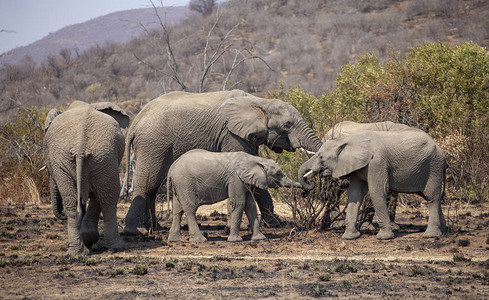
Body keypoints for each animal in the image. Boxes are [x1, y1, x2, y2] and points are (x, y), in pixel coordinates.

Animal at [43, 101, 130, 255]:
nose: (62, 215)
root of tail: (80, 147)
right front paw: (88, 237)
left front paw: (88, 236)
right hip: (100, 158)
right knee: (106, 198)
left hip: (98, 158)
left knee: (97, 198)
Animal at [166, 149, 300, 243]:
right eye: (278, 174)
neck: (254, 159)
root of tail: (171, 169)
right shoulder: (236, 179)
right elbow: (239, 203)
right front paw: (236, 240)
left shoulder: (246, 181)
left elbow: (250, 205)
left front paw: (259, 238)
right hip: (185, 183)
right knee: (190, 209)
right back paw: (200, 240)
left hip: (179, 185)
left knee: (177, 210)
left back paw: (175, 239)